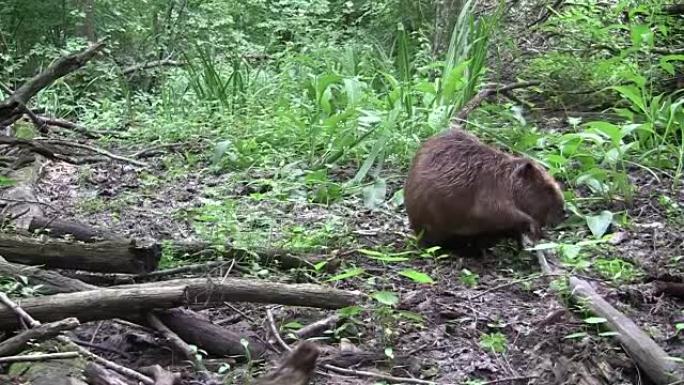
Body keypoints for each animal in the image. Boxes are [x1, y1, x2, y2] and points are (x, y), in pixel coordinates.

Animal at [404, 127, 564, 255]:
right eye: (548, 189)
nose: (564, 211)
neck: (506, 177)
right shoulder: (491, 192)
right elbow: (493, 212)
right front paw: (535, 229)